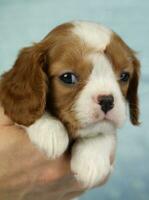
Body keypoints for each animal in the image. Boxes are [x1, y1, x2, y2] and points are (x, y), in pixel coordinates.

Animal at [0, 21, 140, 188]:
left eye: (124, 76)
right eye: (68, 77)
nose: (107, 100)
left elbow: (104, 130)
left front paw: (93, 160)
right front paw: (50, 131)